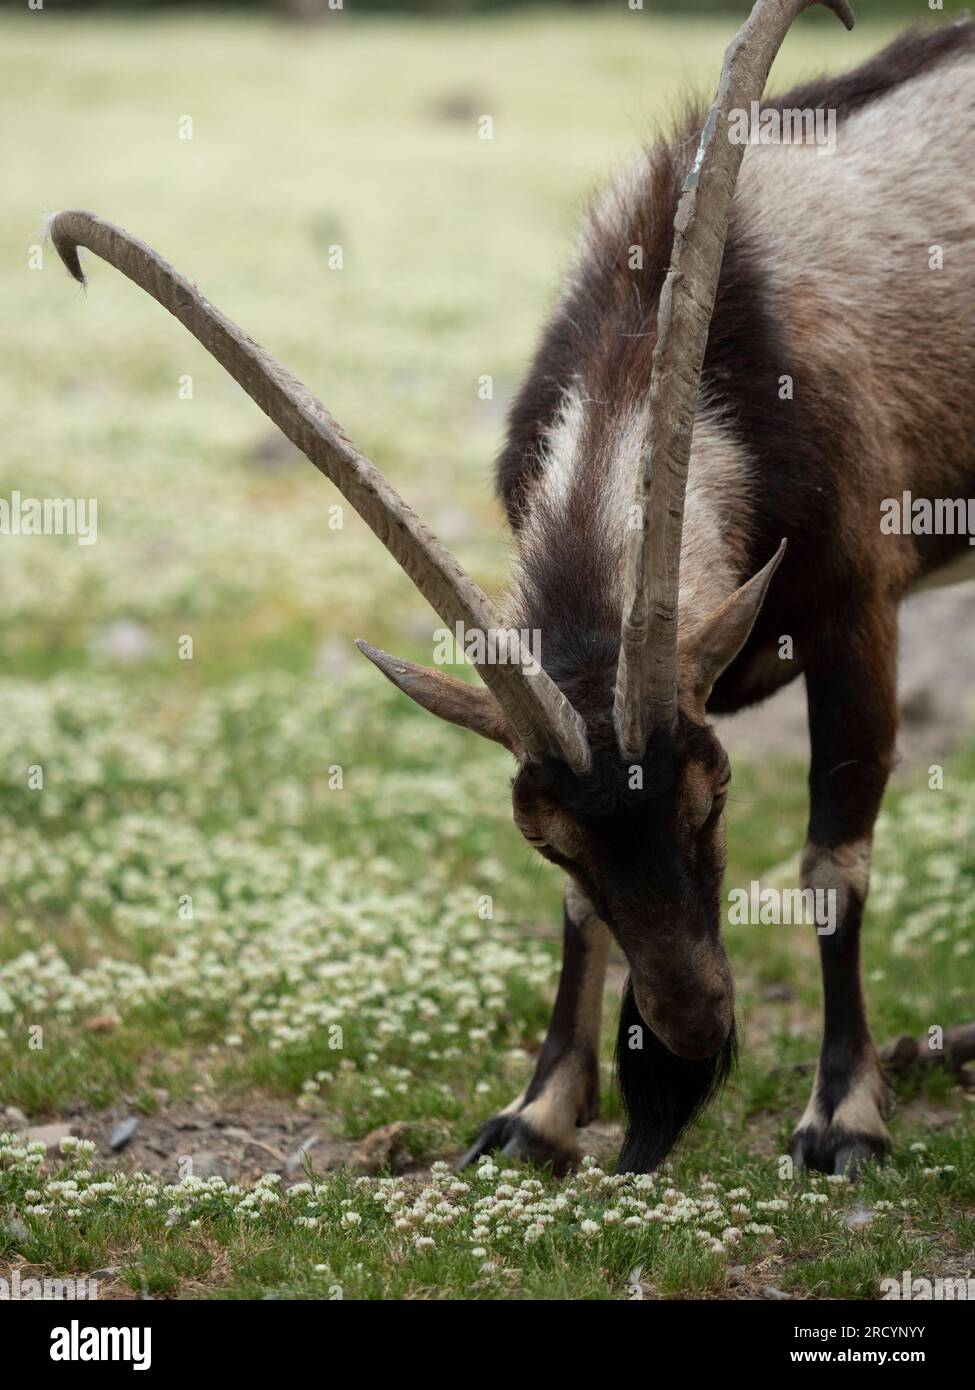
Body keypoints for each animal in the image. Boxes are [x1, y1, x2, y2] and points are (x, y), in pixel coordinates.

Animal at [47, 0, 975, 1176]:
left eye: (714, 796)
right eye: (550, 837)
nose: (694, 1032)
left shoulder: (858, 606)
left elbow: (834, 858)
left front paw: (842, 1119)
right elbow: (578, 917)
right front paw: (539, 1114)